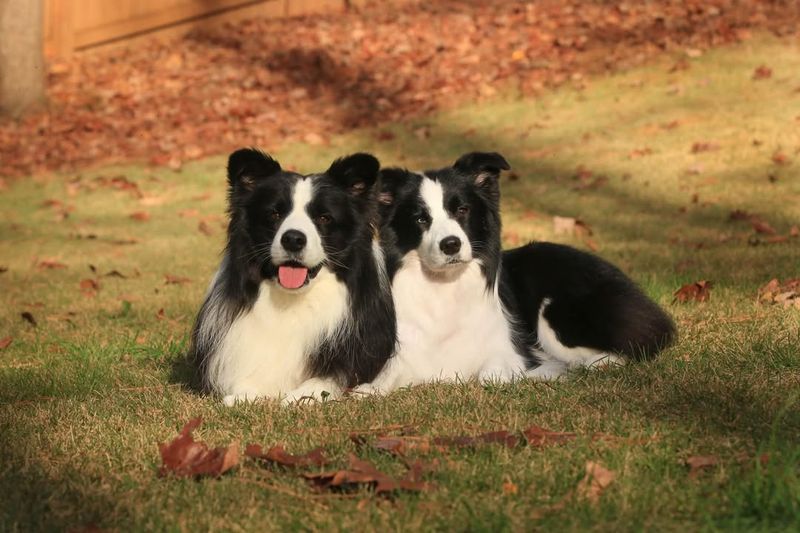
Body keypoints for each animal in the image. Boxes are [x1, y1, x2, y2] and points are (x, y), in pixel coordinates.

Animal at [188, 148, 400, 406]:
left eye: (324, 218)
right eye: (274, 214)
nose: (293, 239)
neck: (293, 300)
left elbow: (332, 377)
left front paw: (302, 396)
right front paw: (244, 394)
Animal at [356, 152, 676, 392]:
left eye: (462, 210)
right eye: (421, 218)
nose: (451, 245)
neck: (446, 288)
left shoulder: (509, 351)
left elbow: (490, 377)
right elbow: (380, 382)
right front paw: (364, 391)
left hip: (554, 312)